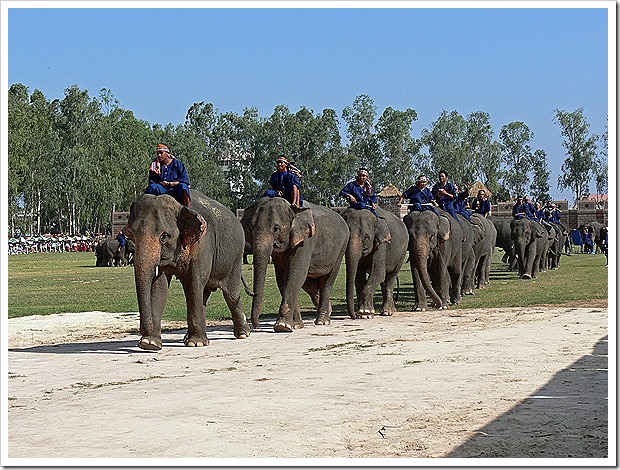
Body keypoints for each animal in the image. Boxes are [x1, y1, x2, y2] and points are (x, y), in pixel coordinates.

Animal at [124, 189, 251, 350]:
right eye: (133, 234)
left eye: (164, 236)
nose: (142, 331)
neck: (180, 206)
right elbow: (159, 287)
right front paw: (150, 343)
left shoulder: (203, 244)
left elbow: (194, 282)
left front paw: (196, 343)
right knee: (204, 294)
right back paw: (188, 337)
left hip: (235, 258)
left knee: (231, 295)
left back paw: (243, 334)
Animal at [241, 196, 348, 332]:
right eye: (251, 228)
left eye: (276, 229)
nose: (256, 325)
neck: (292, 208)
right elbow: (283, 279)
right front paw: (295, 325)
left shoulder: (305, 242)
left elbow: (295, 275)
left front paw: (282, 326)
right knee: (310, 285)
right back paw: (328, 310)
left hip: (341, 248)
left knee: (327, 282)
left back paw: (322, 321)